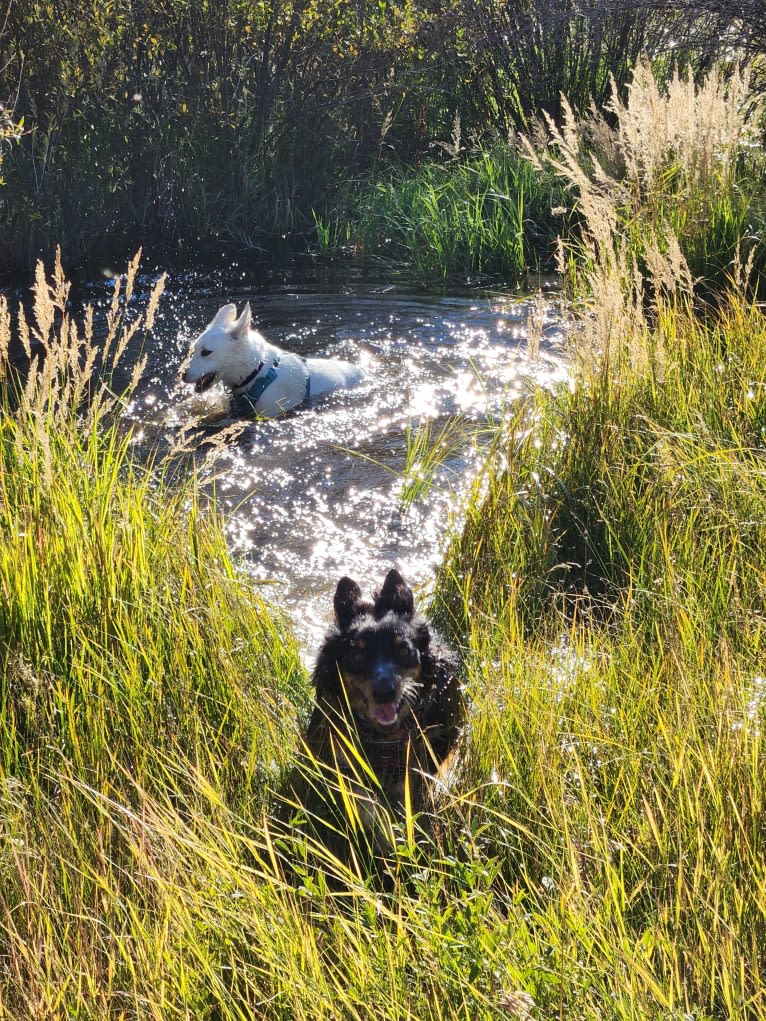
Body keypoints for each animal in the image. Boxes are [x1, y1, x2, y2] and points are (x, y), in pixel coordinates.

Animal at [302, 571, 465, 849]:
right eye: (357, 655)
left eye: (403, 650)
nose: (385, 691)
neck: (386, 738)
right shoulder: (338, 758)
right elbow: (364, 802)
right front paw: (389, 836)